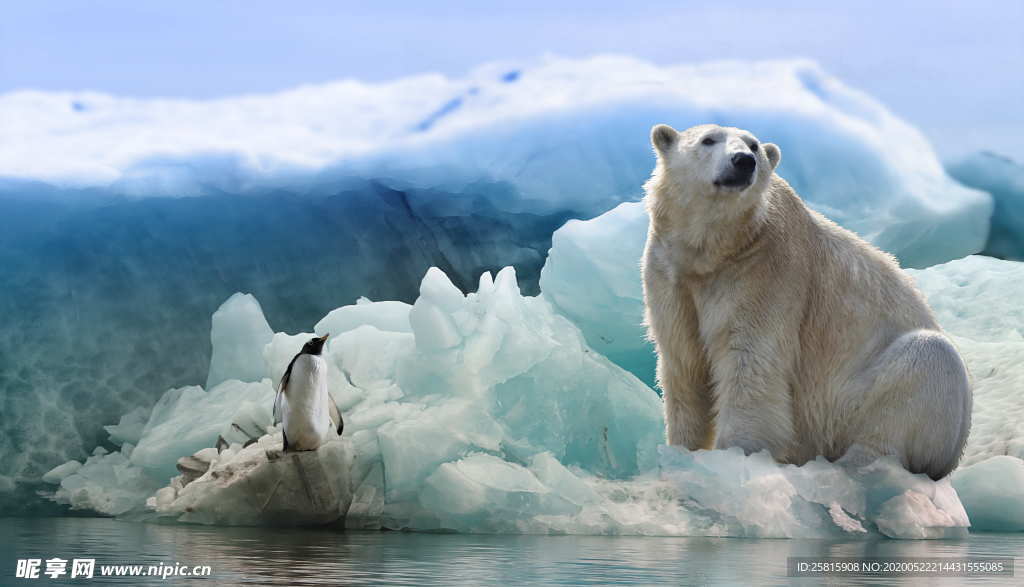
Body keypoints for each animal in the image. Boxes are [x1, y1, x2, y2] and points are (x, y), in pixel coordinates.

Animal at [643, 121, 970, 477]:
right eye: (708, 140)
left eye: (754, 145)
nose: (743, 161)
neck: (716, 250)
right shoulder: (670, 274)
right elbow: (684, 363)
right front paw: (681, 451)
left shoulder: (765, 271)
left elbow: (750, 362)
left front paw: (735, 456)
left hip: (865, 397)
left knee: (924, 365)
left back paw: (855, 464)